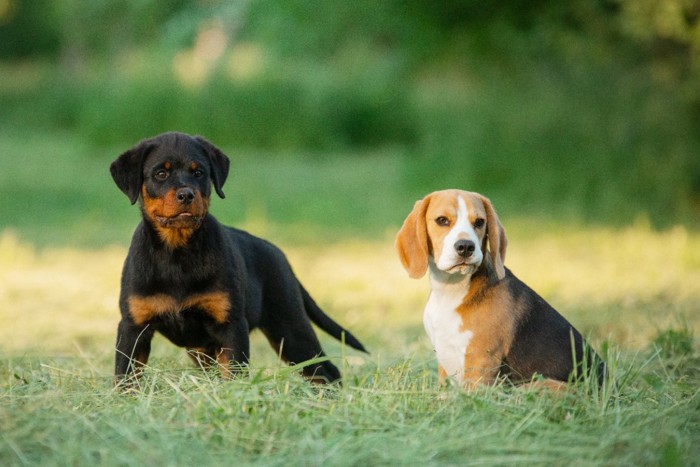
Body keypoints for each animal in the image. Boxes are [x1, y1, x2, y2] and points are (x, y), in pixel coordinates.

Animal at [109, 133, 366, 388]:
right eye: (161, 174)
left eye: (199, 172)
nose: (186, 194)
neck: (176, 252)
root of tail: (281, 256)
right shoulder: (132, 327)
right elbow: (125, 376)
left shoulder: (231, 325)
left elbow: (233, 373)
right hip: (205, 349)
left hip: (289, 328)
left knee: (326, 371)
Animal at [396, 190, 604, 392]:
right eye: (442, 220)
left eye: (479, 222)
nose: (466, 247)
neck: (451, 290)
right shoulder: (443, 358)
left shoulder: (481, 361)